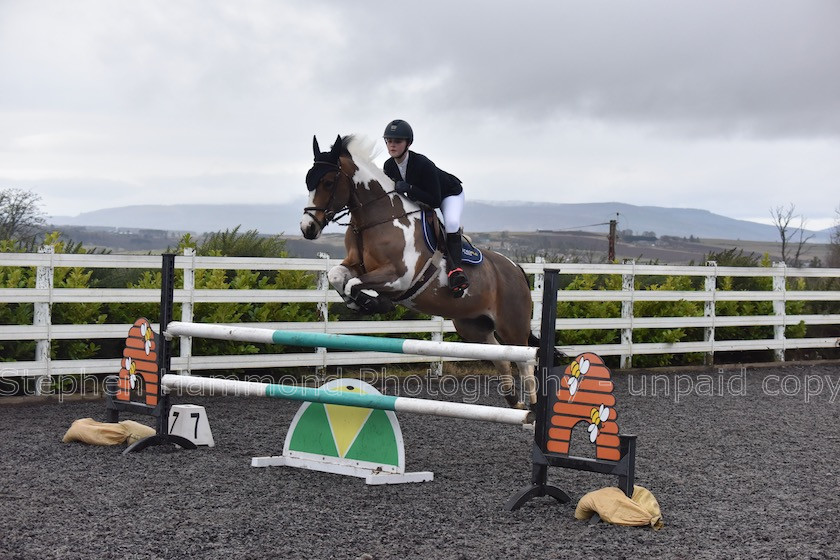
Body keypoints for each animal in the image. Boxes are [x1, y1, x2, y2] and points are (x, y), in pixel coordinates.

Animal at [302, 135, 540, 406]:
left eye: (328, 182)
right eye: (308, 181)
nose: (307, 228)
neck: (378, 220)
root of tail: (516, 269)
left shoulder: (399, 278)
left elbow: (355, 284)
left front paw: (375, 304)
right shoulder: (354, 266)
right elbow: (337, 276)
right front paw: (359, 303)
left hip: (512, 325)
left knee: (525, 362)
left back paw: (531, 408)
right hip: (472, 326)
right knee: (501, 358)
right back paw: (515, 403)